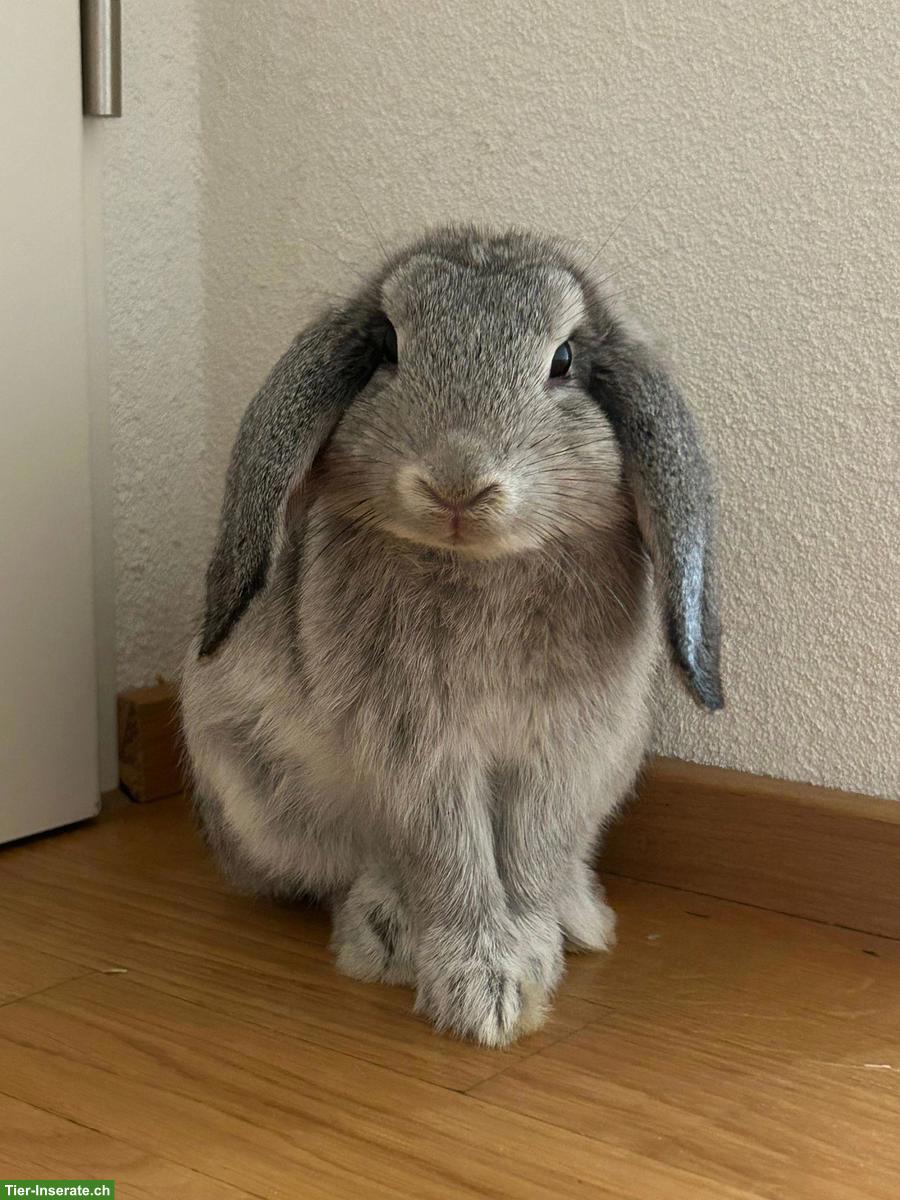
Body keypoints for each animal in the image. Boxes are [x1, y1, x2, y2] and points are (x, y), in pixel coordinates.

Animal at [180, 225, 723, 1047]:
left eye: (564, 360)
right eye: (389, 347)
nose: (458, 483)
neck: (480, 565)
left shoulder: (562, 752)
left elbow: (529, 858)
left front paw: (528, 960)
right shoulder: (418, 753)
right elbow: (450, 858)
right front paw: (483, 993)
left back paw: (580, 919)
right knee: (352, 868)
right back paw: (384, 935)